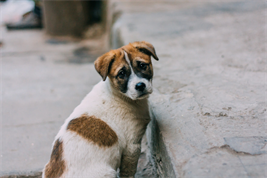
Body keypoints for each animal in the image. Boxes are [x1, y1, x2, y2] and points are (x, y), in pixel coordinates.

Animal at [42, 41, 159, 177]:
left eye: (142, 65)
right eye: (121, 74)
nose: (140, 86)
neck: (120, 95)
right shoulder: (132, 147)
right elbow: (128, 173)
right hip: (108, 172)